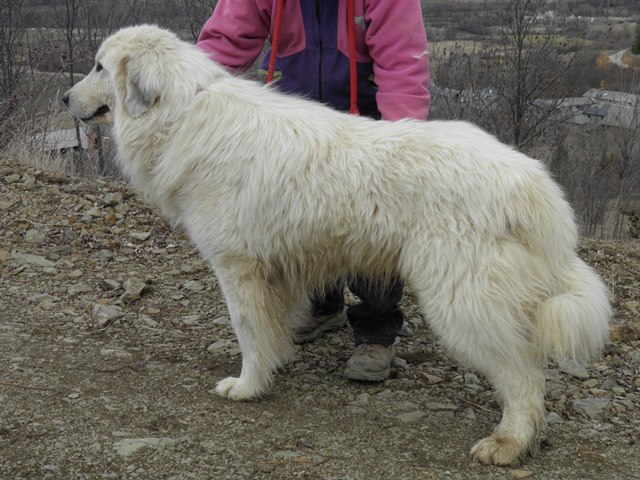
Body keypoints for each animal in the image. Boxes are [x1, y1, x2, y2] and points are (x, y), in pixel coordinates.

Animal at [63, 26, 608, 464]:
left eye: (99, 66)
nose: (65, 99)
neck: (184, 109)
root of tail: (532, 182)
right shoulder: (278, 268)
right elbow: (272, 328)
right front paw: (275, 364)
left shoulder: (238, 266)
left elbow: (248, 331)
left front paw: (247, 386)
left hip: (462, 300)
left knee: (524, 376)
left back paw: (510, 443)